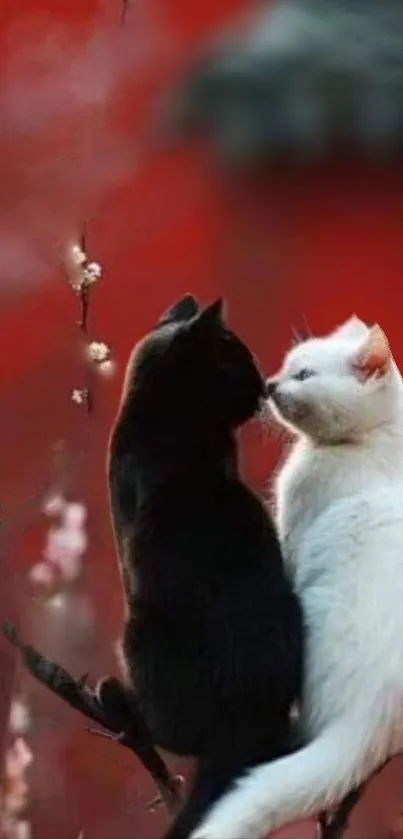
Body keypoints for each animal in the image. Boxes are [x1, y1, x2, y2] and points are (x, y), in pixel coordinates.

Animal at [191, 316, 403, 839]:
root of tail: (374, 718)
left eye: (303, 375)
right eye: (287, 367)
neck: (377, 440)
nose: (271, 384)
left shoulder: (294, 530)